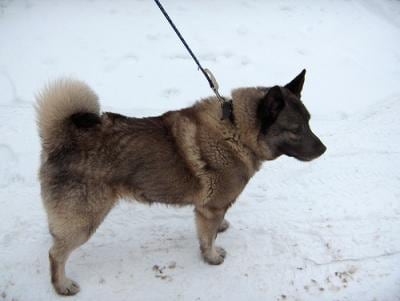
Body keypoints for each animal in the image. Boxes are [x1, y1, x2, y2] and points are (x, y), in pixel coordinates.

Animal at [36, 69, 326, 292]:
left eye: (309, 122)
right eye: (295, 130)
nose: (324, 149)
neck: (236, 131)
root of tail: (61, 140)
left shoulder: (211, 208)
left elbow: (214, 228)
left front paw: (221, 229)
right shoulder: (210, 209)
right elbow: (207, 239)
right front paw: (212, 257)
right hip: (84, 221)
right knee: (54, 254)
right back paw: (61, 285)